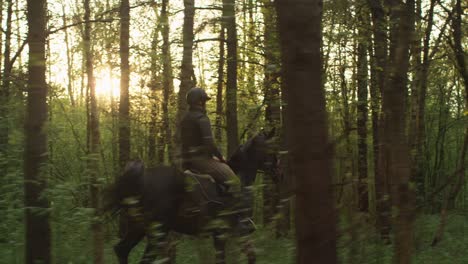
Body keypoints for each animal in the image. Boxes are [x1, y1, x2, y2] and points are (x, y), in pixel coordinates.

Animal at [103, 130, 278, 264]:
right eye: (271, 149)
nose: (279, 173)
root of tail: (142, 179)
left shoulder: (220, 235)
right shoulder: (234, 232)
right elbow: (249, 257)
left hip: (138, 227)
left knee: (121, 250)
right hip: (156, 233)